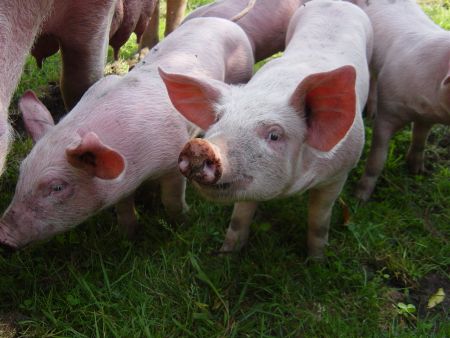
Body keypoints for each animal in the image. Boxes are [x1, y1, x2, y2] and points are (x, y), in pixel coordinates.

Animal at [160, 0, 374, 258]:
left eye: (274, 135)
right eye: (219, 119)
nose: (199, 146)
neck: (288, 191)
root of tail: (339, 3)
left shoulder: (339, 173)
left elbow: (319, 221)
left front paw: (317, 259)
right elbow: (239, 218)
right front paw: (226, 254)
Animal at [350, 0, 450, 201]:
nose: (359, 197)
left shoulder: (426, 117)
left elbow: (420, 140)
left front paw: (418, 171)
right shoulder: (388, 110)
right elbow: (377, 158)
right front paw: (360, 197)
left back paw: (371, 113)